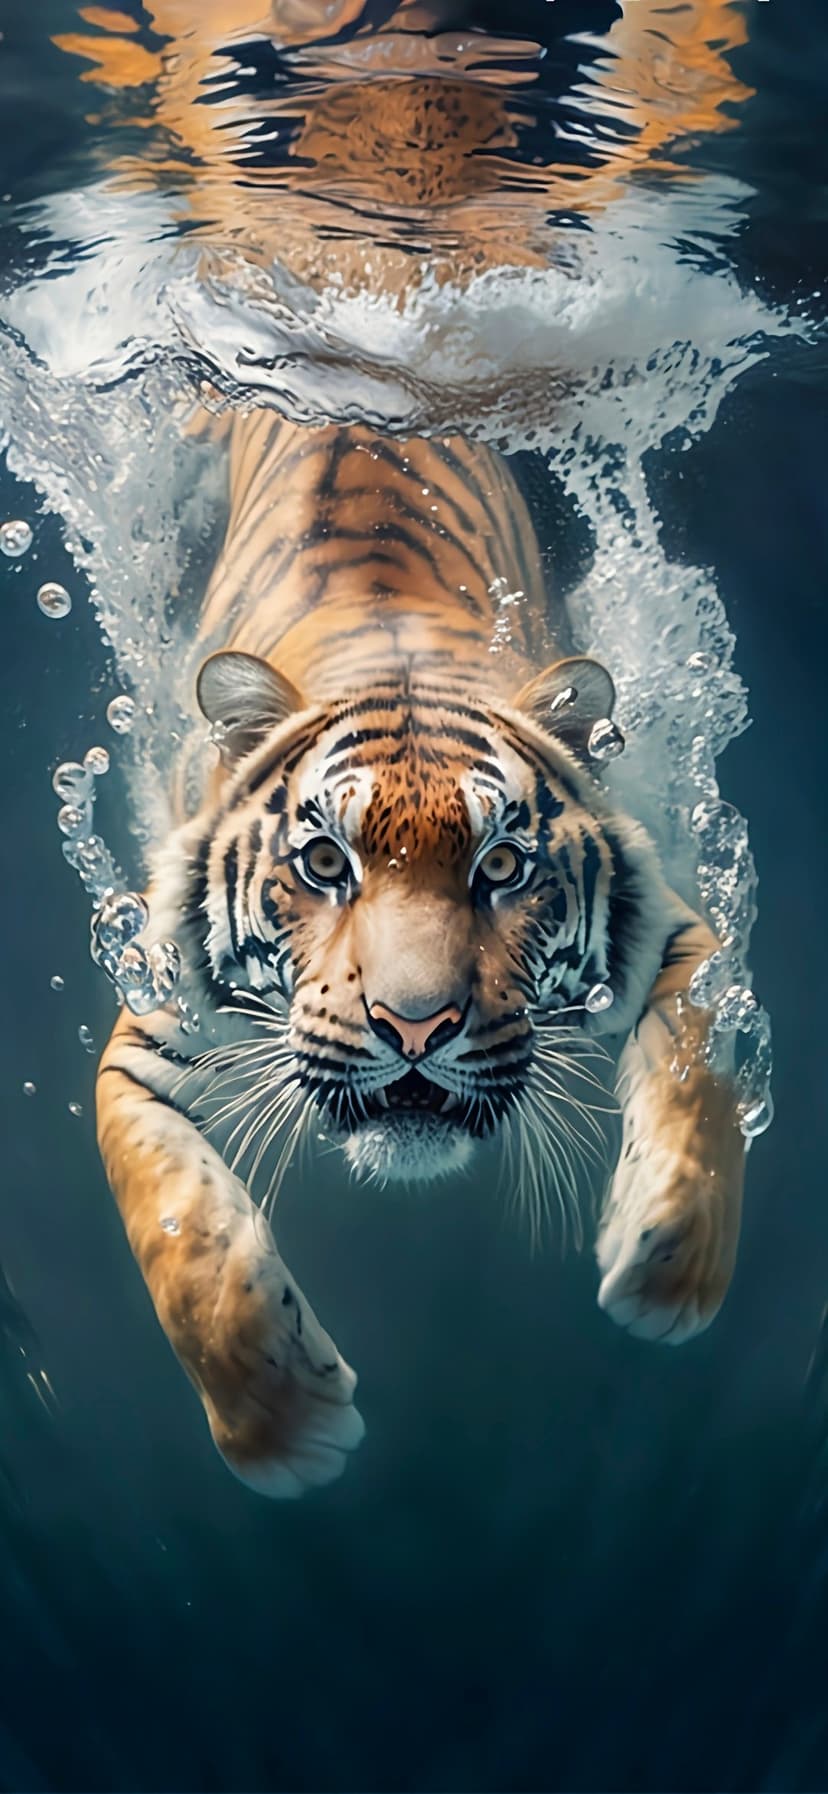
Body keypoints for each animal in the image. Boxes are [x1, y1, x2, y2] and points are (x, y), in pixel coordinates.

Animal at [84, 0, 750, 1497]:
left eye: (504, 865)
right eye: (321, 862)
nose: (415, 1027)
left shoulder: (679, 929)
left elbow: (702, 1080)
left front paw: (666, 1266)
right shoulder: (148, 1016)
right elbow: (172, 1219)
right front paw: (282, 1424)